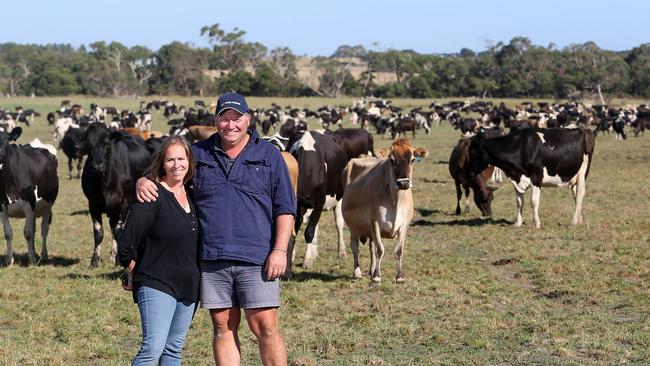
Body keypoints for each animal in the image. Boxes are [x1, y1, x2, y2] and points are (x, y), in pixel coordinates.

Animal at [0, 129, 58, 266]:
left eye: (7, 139)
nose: (0, 152)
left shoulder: (29, 205)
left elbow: (28, 233)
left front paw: (31, 260)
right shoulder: (1, 207)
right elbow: (8, 233)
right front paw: (9, 260)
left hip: (48, 204)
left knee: (44, 229)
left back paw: (43, 256)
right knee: (35, 228)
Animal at [78, 123, 152, 266]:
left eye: (107, 144)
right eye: (89, 144)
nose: (98, 165)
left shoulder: (124, 203)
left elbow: (119, 233)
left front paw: (120, 262)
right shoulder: (93, 204)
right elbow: (99, 233)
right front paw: (94, 261)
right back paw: (113, 256)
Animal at [340, 139, 426, 284]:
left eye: (413, 159)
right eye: (392, 160)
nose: (403, 183)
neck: (395, 201)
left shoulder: (404, 224)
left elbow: (398, 250)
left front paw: (400, 276)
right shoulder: (374, 221)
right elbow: (380, 250)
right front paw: (377, 276)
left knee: (372, 247)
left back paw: (371, 269)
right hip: (352, 225)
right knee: (355, 246)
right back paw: (357, 272)